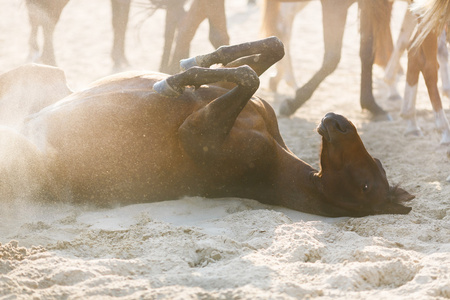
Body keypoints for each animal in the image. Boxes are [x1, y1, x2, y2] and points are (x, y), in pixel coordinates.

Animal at [1, 37, 414, 217]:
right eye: (377, 164)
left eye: (366, 186)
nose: (338, 123)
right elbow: (268, 53)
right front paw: (192, 64)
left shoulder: (198, 135)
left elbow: (249, 75)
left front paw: (173, 81)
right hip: (41, 73)